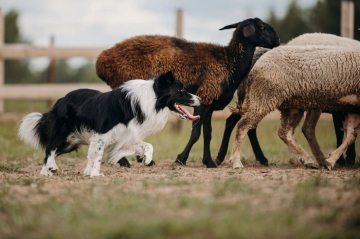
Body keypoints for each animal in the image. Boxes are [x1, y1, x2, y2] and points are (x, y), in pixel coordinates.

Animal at [18, 71, 201, 176]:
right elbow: (97, 155)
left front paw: (147, 158)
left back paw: (46, 171)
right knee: (50, 148)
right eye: (181, 91)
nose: (200, 99)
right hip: (63, 133)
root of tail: (60, 100)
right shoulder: (102, 135)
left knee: (51, 152)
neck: (146, 101)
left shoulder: (127, 136)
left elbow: (147, 145)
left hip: (71, 142)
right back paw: (50, 168)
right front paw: (94, 174)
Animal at [96, 17, 282, 168]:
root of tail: (101, 61)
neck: (229, 63)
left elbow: (207, 134)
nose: (278, 40)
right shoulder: (204, 99)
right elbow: (196, 133)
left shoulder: (209, 104)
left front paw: (209, 162)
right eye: (261, 27)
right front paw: (181, 159)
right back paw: (124, 161)